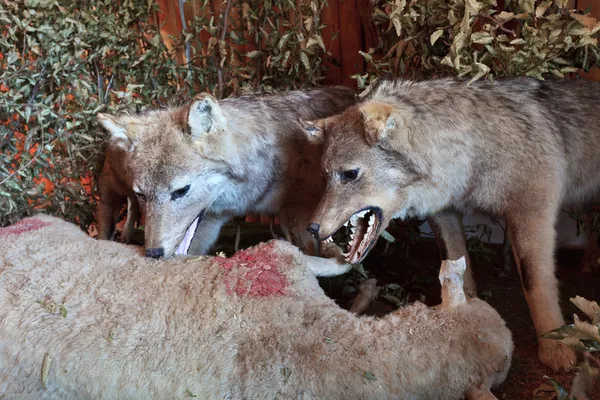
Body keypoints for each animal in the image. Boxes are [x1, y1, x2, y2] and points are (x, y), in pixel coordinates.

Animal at [96, 86, 354, 276]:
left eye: (181, 191)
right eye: (142, 194)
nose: (153, 252)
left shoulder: (297, 214)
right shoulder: (212, 221)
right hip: (111, 191)